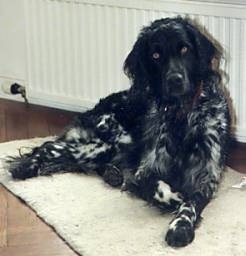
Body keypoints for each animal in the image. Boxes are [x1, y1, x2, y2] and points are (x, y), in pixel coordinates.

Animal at [8, 16, 231, 248]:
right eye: (156, 55)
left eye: (185, 48)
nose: (175, 80)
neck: (181, 114)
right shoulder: (145, 170)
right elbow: (155, 187)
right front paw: (172, 199)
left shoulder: (207, 176)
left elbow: (191, 203)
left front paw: (180, 226)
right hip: (112, 142)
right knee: (51, 146)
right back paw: (25, 167)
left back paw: (112, 174)